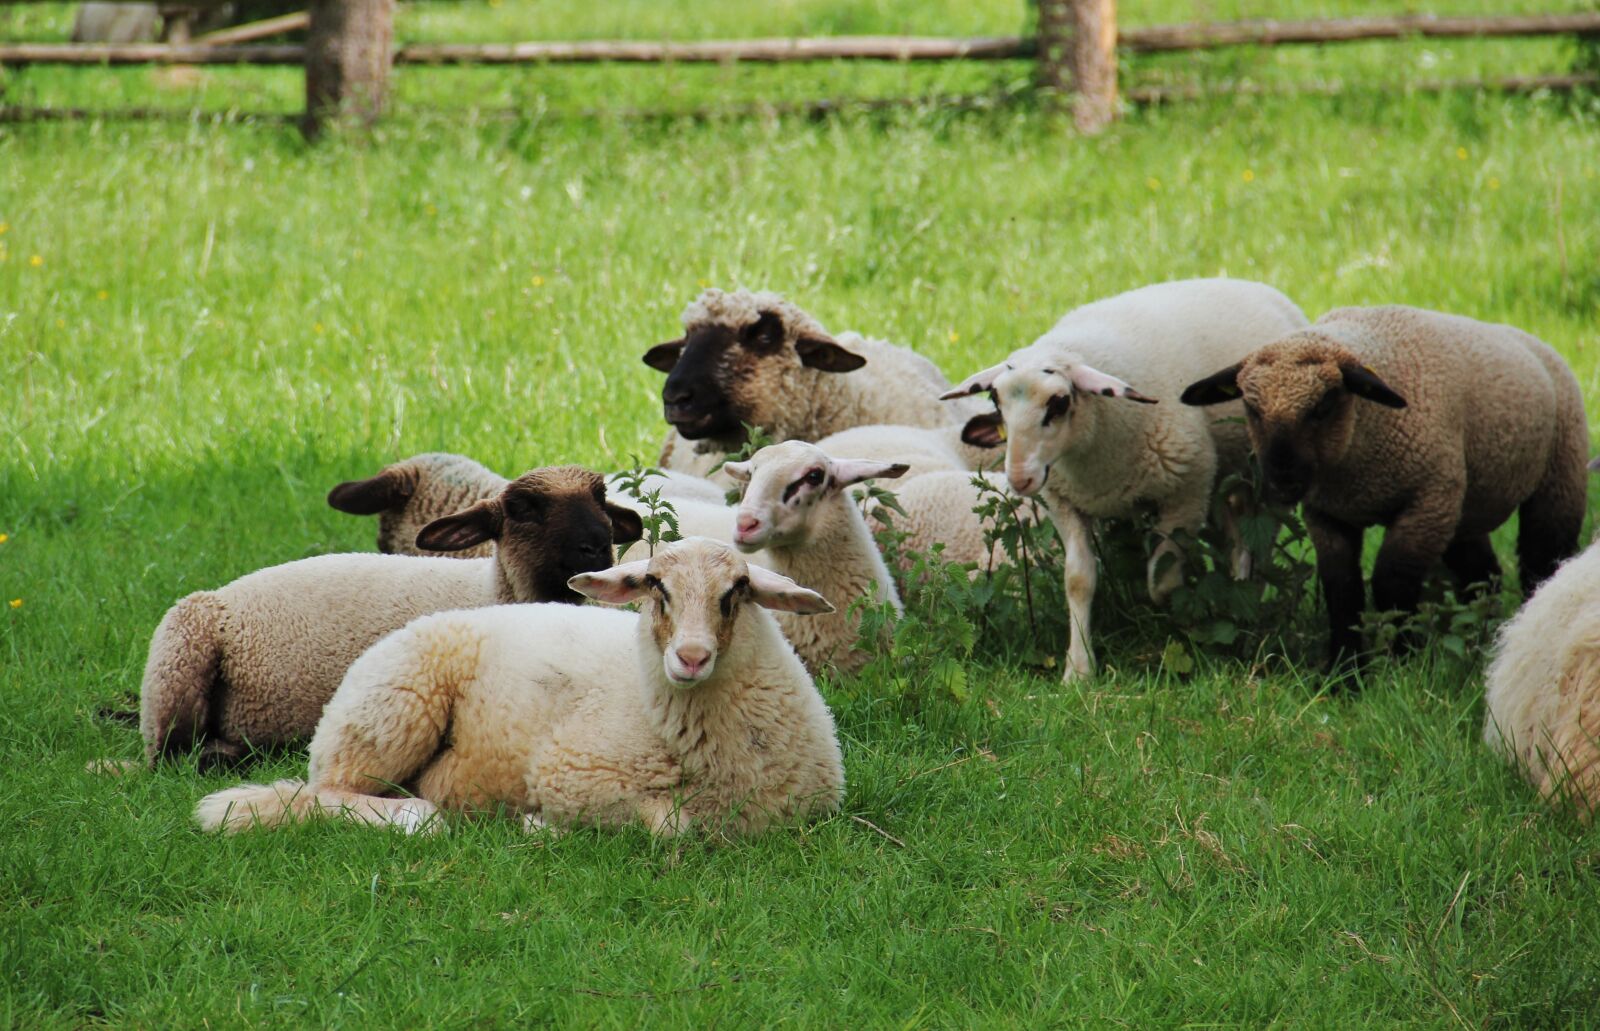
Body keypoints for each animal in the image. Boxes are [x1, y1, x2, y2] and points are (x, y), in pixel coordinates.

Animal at [140, 466, 644, 770]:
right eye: (522, 509)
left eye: (601, 498)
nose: (597, 546)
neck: (492, 592)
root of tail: (223, 593)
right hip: (179, 654)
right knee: (172, 753)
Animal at [194, 538, 845, 840]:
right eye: (656, 587)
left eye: (736, 591)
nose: (690, 657)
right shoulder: (570, 772)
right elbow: (670, 828)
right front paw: (540, 826)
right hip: (391, 712)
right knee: (326, 793)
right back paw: (415, 815)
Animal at [942, 278, 1310, 681]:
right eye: (996, 401)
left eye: (1059, 403)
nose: (1020, 479)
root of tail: (1249, 282)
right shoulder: (1065, 501)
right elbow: (1079, 579)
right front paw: (1079, 669)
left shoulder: (1188, 492)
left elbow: (1163, 583)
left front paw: (1185, 636)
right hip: (1230, 477)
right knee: (1238, 535)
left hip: (1266, 477)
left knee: (1260, 544)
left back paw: (1246, 615)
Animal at [1181, 304, 1587, 669]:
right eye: (1251, 409)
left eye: (1324, 404)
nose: (1282, 480)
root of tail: (1532, 341)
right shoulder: (1328, 515)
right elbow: (1342, 588)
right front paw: (1344, 672)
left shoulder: (1425, 503)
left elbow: (1392, 582)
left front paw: (1402, 662)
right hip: (1462, 508)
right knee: (1483, 576)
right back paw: (1479, 635)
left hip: (1559, 478)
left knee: (1542, 559)